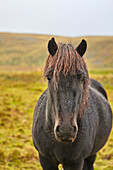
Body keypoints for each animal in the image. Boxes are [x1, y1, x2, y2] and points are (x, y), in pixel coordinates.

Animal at [32, 37, 112, 169]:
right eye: (49, 77)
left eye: (82, 78)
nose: (66, 130)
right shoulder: (45, 160)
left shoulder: (74, 162)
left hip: (90, 156)